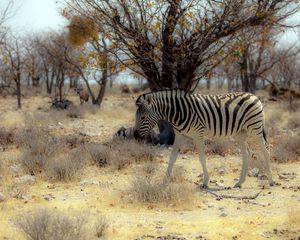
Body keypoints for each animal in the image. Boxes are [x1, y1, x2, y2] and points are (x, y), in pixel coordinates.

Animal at [135, 89, 276, 188]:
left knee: (266, 151)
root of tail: (254, 96)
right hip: (240, 133)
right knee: (247, 153)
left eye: (143, 117)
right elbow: (172, 158)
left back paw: (271, 181)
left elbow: (202, 158)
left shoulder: (198, 134)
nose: (136, 137)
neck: (180, 112)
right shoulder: (180, 135)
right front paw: (165, 180)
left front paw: (205, 182)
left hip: (255, 128)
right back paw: (240, 182)